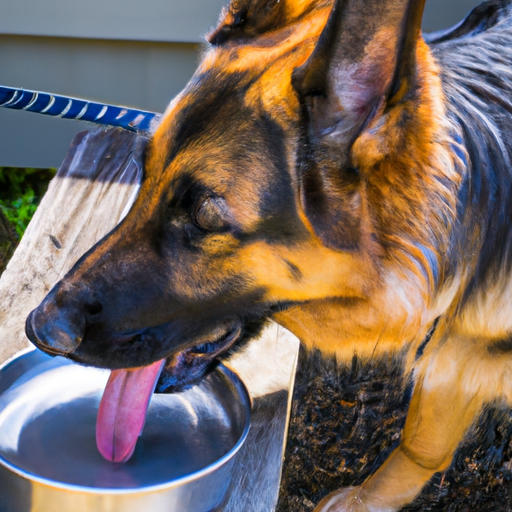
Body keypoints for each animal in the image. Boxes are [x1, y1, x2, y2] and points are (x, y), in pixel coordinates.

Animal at [25, 0, 512, 510]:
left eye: (204, 216)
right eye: (143, 170)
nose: (40, 329)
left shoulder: (459, 354)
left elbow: (422, 442)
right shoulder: (459, 355)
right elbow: (424, 442)